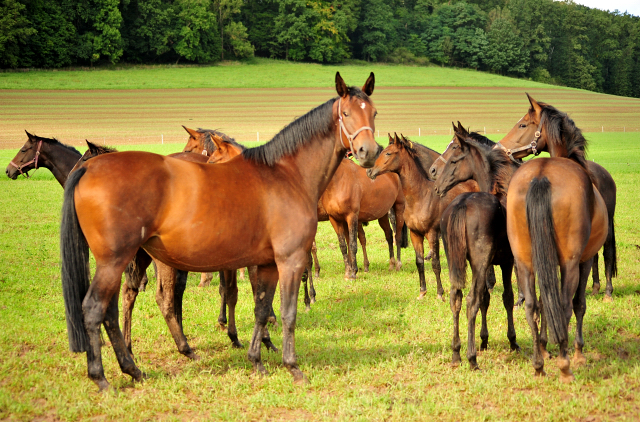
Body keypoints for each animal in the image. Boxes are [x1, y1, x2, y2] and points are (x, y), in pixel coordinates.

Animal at [58, 71, 380, 390]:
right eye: (346, 113)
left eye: (374, 112)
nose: (368, 152)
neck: (286, 175)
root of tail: (89, 168)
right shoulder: (290, 261)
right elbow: (288, 313)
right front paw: (293, 367)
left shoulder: (266, 264)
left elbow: (261, 309)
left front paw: (256, 360)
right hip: (115, 261)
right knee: (96, 309)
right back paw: (102, 378)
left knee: (113, 311)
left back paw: (133, 369)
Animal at [368, 133, 478, 300]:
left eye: (388, 153)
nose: (370, 171)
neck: (420, 197)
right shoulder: (415, 234)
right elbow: (419, 262)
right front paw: (422, 292)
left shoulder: (432, 233)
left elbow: (435, 263)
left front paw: (440, 294)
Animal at [436, 123, 520, 370]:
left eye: (454, 155)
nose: (436, 184)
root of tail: (462, 205)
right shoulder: (506, 262)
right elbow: (506, 298)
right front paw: (512, 340)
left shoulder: (486, 265)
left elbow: (486, 298)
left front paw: (484, 340)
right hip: (482, 264)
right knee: (470, 300)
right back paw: (471, 357)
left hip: (457, 262)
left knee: (456, 298)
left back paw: (456, 353)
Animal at [498, 95, 608, 382]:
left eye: (523, 124)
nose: (499, 148)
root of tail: (541, 175)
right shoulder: (585, 260)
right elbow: (578, 304)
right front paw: (578, 352)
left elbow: (544, 304)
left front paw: (545, 347)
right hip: (570, 263)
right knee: (565, 305)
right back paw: (565, 364)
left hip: (525, 261)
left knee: (532, 306)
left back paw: (538, 365)